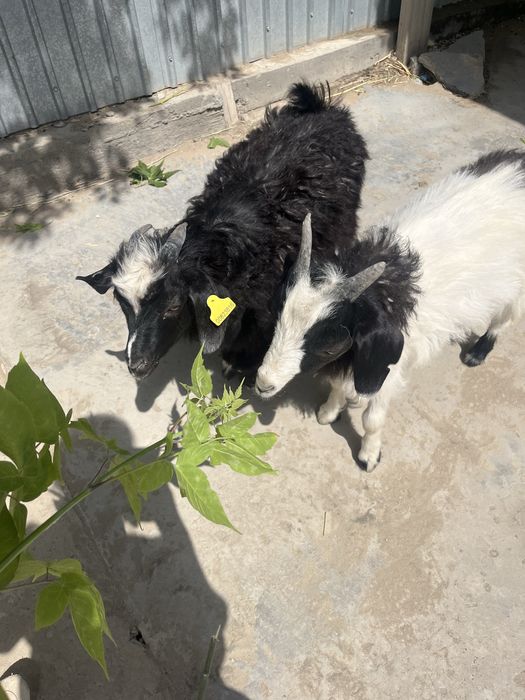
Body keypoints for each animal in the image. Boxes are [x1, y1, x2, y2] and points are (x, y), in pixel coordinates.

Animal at [77, 82, 368, 380]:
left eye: (173, 306)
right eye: (123, 304)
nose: (137, 366)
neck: (222, 240)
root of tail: (318, 107)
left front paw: (239, 364)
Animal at [255, 150, 525, 472]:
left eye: (329, 345)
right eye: (278, 317)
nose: (263, 383)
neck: (388, 293)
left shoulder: (389, 365)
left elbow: (372, 419)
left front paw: (369, 456)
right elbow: (338, 384)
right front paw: (330, 410)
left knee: (507, 315)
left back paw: (478, 352)